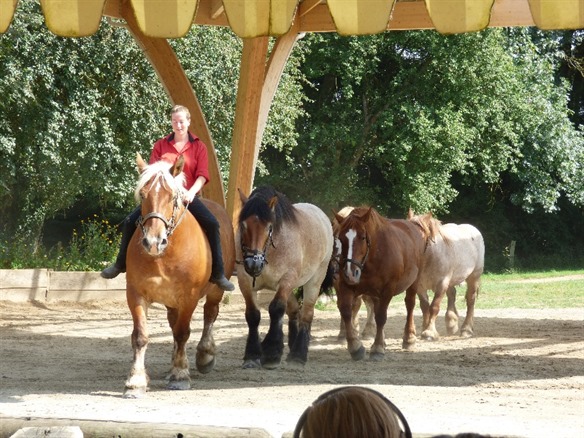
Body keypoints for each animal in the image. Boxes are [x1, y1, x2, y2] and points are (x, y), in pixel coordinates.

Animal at [124, 154, 235, 396]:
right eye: (143, 195)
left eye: (172, 196)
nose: (153, 242)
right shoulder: (135, 294)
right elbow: (140, 336)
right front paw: (136, 380)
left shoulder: (189, 297)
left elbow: (183, 332)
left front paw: (180, 374)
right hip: (170, 301)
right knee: (173, 324)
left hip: (215, 291)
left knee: (210, 314)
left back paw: (204, 355)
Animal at [234, 186, 334, 368]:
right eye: (243, 226)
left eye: (269, 227)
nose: (253, 263)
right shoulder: (245, 282)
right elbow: (253, 315)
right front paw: (252, 355)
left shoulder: (287, 280)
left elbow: (276, 309)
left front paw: (272, 352)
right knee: (294, 311)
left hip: (314, 280)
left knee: (307, 313)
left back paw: (298, 354)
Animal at [334, 205, 434, 360]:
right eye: (340, 238)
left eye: (362, 237)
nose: (350, 272)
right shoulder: (346, 287)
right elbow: (346, 311)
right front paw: (355, 347)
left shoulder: (387, 290)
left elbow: (381, 316)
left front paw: (377, 348)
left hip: (414, 281)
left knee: (410, 305)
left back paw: (409, 338)